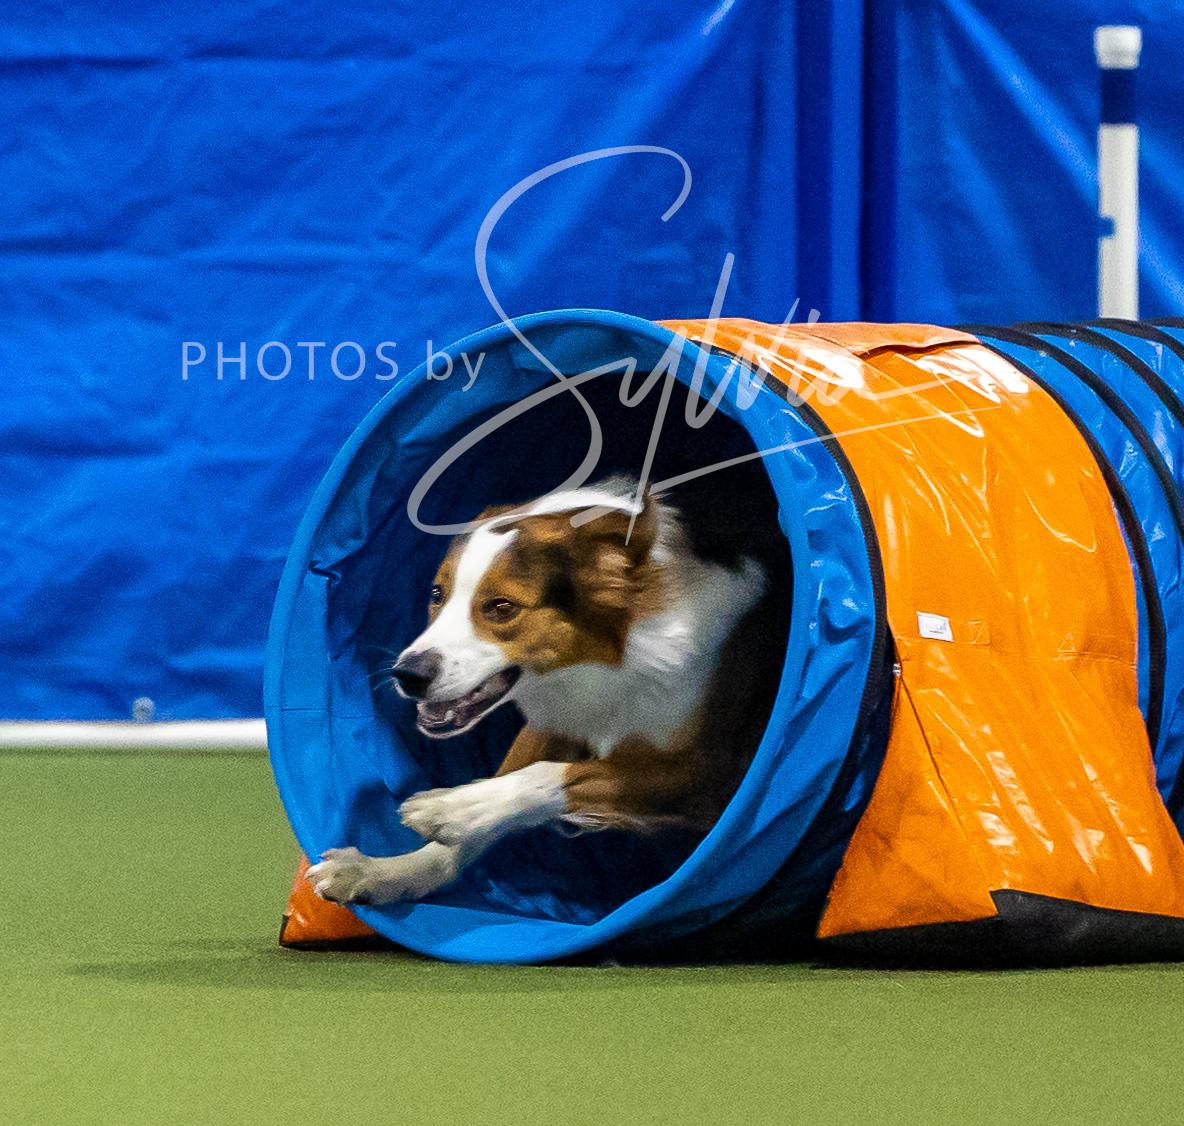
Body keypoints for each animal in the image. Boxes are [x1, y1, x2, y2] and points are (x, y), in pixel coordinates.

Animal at [306, 476, 788, 906]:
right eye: (438, 594)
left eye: (502, 607)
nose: (407, 675)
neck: (613, 664)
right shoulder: (552, 725)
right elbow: (496, 800)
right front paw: (388, 871)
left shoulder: (715, 775)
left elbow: (552, 775)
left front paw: (451, 807)